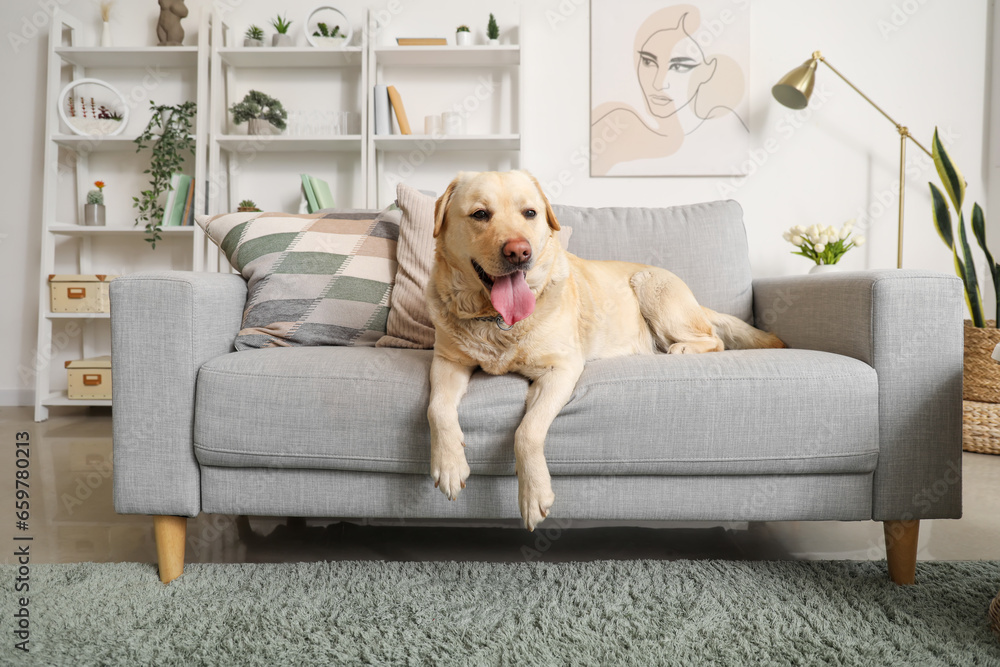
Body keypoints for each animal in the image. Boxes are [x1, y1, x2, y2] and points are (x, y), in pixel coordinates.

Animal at [422, 170, 780, 528]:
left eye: (530, 213)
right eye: (480, 214)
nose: (519, 252)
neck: (497, 320)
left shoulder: (561, 370)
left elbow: (527, 431)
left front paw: (534, 492)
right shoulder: (447, 361)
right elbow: (436, 408)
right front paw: (450, 465)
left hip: (650, 286)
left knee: (713, 338)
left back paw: (681, 350)